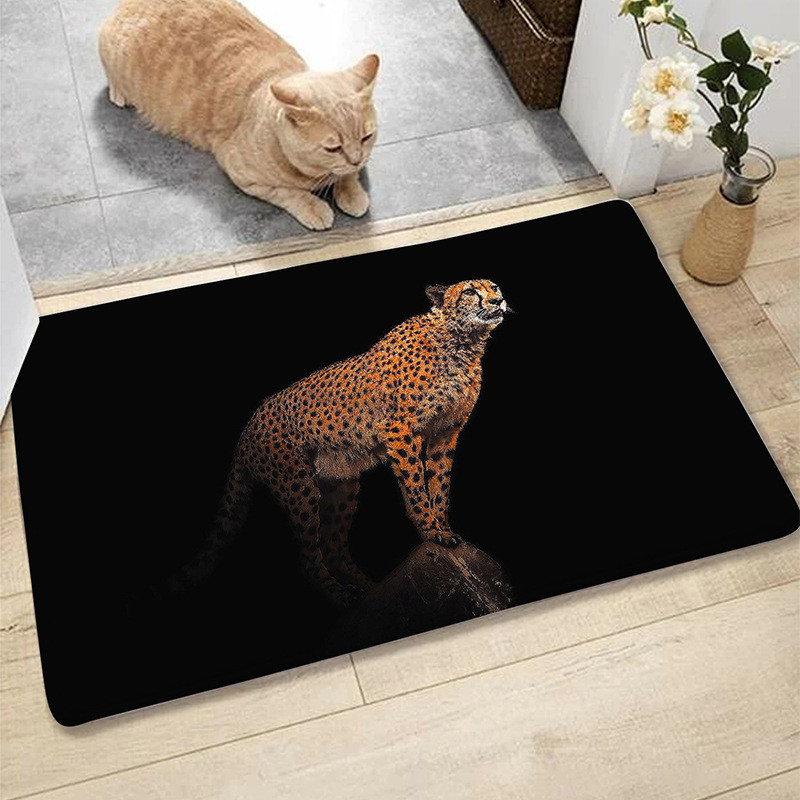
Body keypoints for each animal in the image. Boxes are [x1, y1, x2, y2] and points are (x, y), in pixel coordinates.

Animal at [171, 279, 510, 606]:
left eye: (493, 287)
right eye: (470, 291)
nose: (498, 300)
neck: (462, 342)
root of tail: (247, 428)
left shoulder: (446, 431)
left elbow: (440, 485)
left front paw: (444, 529)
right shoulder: (400, 429)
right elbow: (416, 485)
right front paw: (430, 530)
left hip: (342, 485)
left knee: (333, 550)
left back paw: (368, 590)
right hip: (298, 486)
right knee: (308, 559)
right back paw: (341, 595)